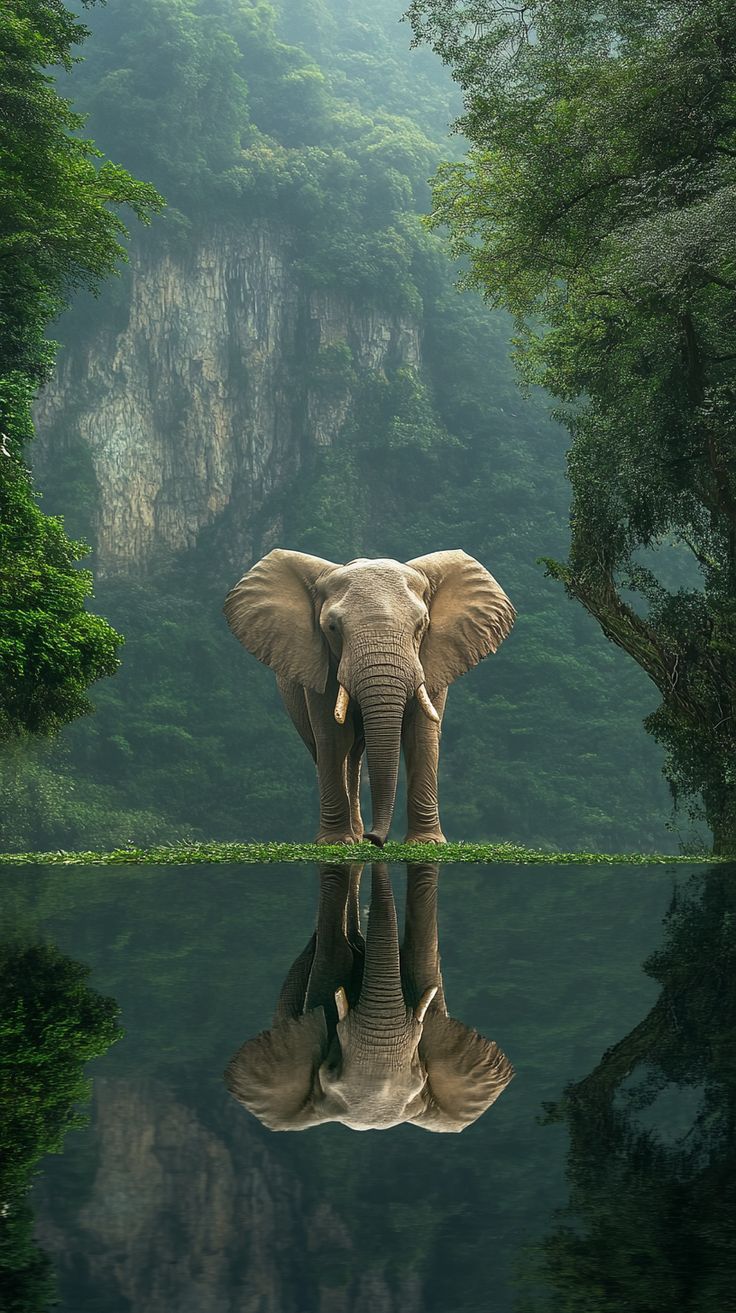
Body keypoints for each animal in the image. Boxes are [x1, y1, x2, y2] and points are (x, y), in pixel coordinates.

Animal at [224, 550, 515, 845]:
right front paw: (334, 842)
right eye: (332, 628)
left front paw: (427, 843)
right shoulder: (321, 665)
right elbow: (332, 736)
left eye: (421, 625)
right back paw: (351, 836)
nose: (374, 838)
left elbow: (421, 735)